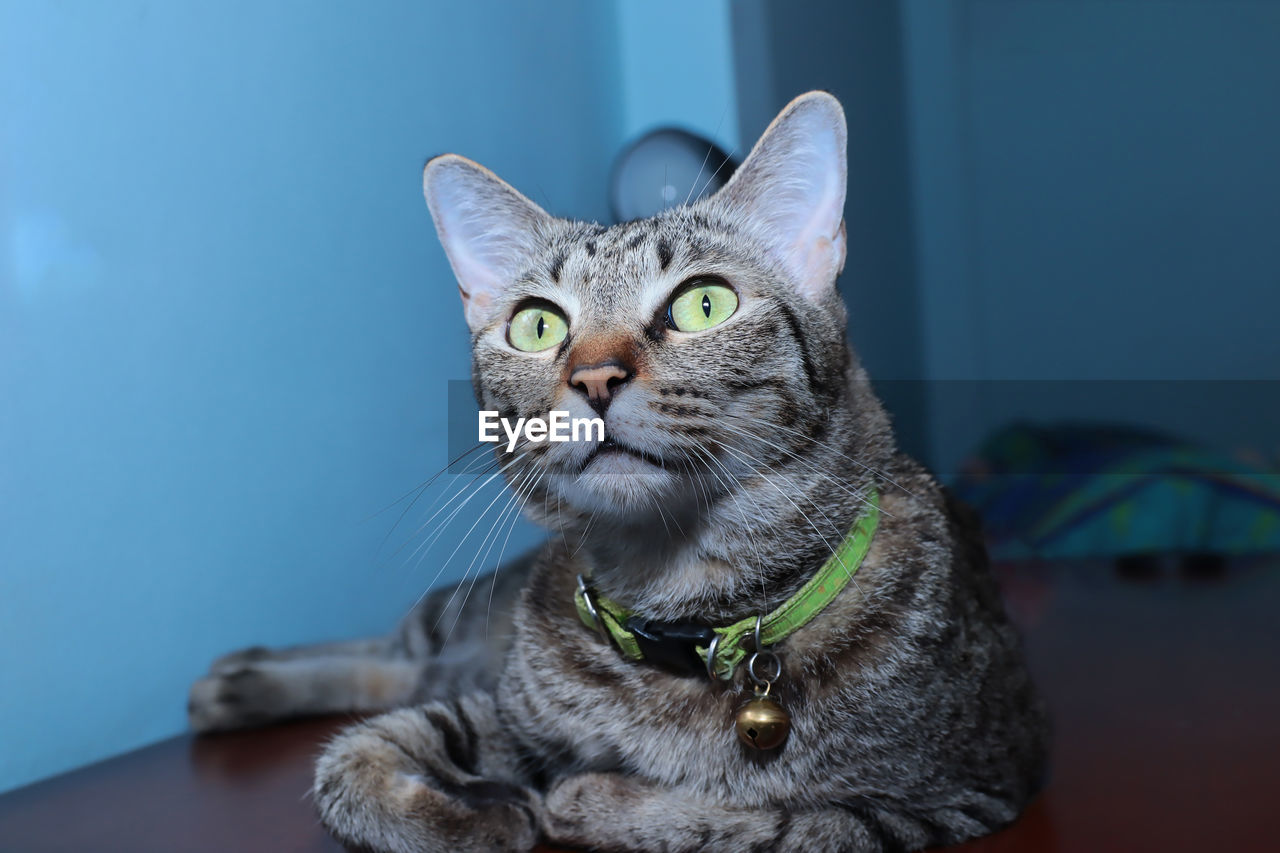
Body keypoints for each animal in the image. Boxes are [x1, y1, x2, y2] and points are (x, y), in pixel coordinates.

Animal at [192, 92, 1049, 850]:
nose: (595, 377)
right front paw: (478, 814)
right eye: (538, 325)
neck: (682, 601)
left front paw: (576, 796)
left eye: (704, 304)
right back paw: (242, 676)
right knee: (403, 654)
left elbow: (745, 819)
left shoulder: (952, 795)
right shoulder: (503, 708)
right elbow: (349, 761)